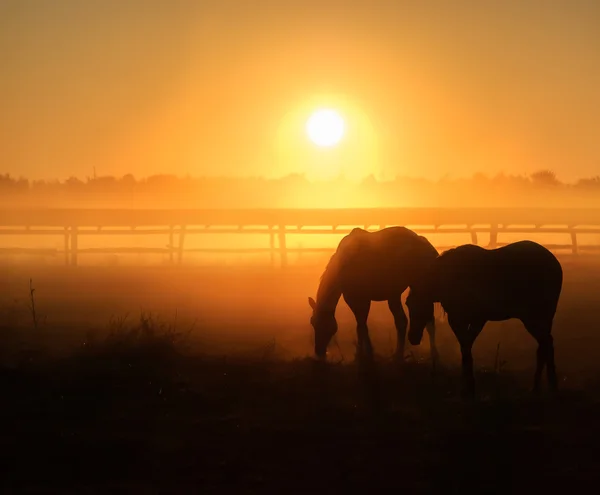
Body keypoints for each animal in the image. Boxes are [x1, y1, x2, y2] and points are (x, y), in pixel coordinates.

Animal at [310, 227, 440, 362]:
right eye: (312, 322)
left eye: (326, 325)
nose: (319, 352)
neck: (343, 265)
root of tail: (428, 245)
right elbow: (361, 326)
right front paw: (363, 353)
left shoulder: (358, 299)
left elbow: (362, 326)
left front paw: (365, 354)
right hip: (400, 294)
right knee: (408, 321)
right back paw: (402, 355)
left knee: (424, 320)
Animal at [406, 240, 564, 400]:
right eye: (407, 304)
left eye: (416, 304)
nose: (412, 337)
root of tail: (555, 264)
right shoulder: (460, 320)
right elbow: (465, 349)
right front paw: (467, 387)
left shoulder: (473, 320)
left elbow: (466, 349)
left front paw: (469, 388)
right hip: (540, 319)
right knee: (545, 345)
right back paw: (545, 388)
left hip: (533, 318)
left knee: (545, 345)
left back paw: (543, 388)